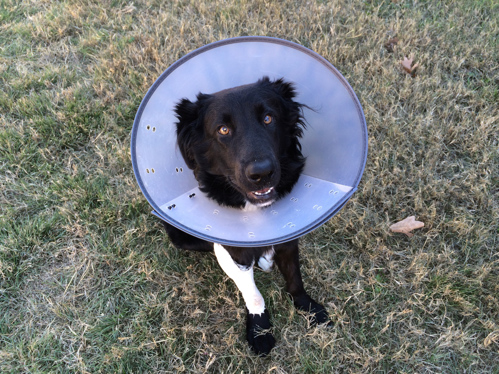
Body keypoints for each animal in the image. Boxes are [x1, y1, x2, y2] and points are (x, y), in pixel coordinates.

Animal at [162, 77, 330, 356]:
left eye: (268, 118)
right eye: (223, 130)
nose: (261, 173)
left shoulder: (289, 235)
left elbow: (295, 277)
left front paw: (308, 307)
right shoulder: (235, 251)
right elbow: (252, 292)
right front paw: (260, 329)